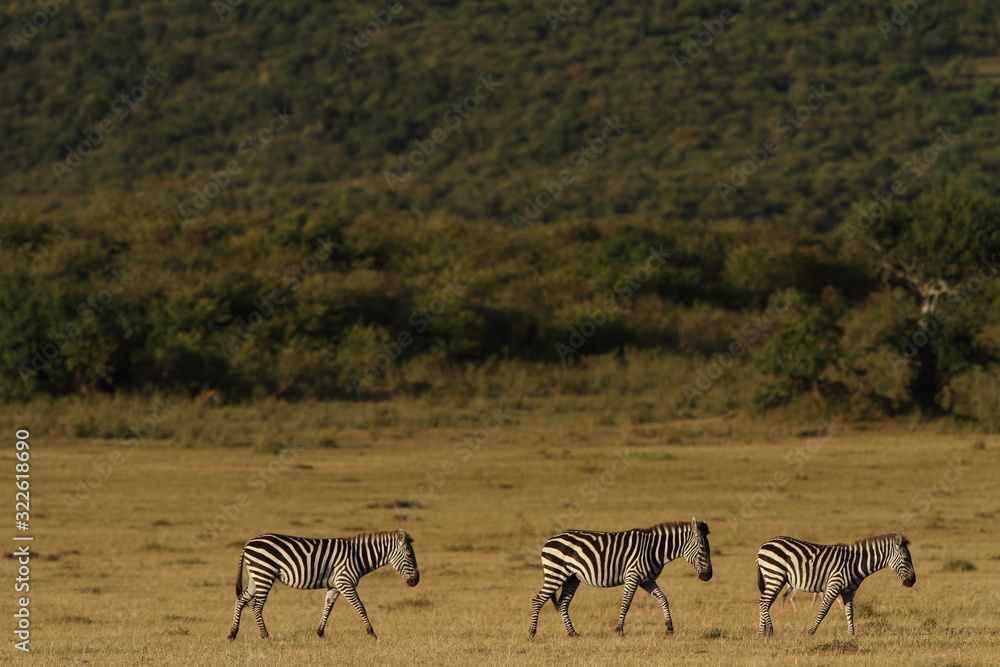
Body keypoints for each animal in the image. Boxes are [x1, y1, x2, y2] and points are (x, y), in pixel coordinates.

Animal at [227, 530, 419, 640]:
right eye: (410, 555)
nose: (416, 581)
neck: (357, 556)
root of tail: (248, 544)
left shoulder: (335, 585)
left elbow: (328, 607)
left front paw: (320, 633)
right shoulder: (345, 581)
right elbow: (360, 607)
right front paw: (372, 633)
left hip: (256, 576)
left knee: (241, 599)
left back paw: (232, 634)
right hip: (264, 573)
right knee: (257, 605)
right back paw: (265, 636)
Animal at [528, 518, 712, 637]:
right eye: (703, 549)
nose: (708, 576)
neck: (654, 550)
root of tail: (550, 539)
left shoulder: (647, 580)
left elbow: (663, 598)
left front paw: (669, 627)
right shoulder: (633, 576)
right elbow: (626, 603)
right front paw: (619, 630)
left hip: (571, 578)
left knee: (563, 603)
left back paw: (572, 633)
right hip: (556, 573)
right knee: (538, 599)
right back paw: (532, 632)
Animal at [756, 532, 915, 636]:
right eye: (906, 559)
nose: (912, 581)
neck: (854, 564)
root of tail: (764, 544)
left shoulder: (848, 591)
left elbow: (849, 612)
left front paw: (852, 635)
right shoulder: (835, 584)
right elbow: (824, 610)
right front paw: (811, 631)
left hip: (774, 578)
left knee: (766, 602)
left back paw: (762, 632)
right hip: (775, 575)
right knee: (763, 602)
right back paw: (769, 631)